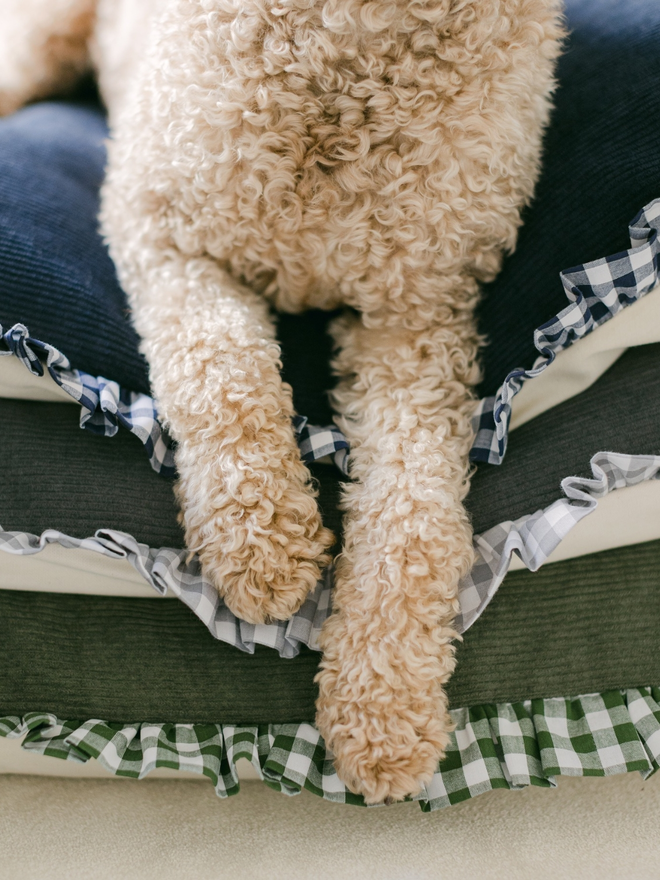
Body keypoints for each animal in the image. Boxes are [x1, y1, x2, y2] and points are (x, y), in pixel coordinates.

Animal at [1, 0, 564, 804]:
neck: (348, 40)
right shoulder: (164, 227)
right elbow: (220, 363)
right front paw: (258, 544)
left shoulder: (414, 317)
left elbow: (415, 516)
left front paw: (383, 701)